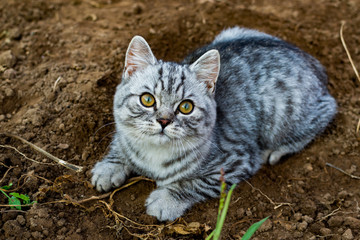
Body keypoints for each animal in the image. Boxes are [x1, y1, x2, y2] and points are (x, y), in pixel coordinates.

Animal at [90, 26, 338, 221]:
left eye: (186, 107)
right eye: (147, 100)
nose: (163, 120)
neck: (155, 154)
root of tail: (314, 63)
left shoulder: (238, 160)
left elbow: (193, 183)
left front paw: (167, 199)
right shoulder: (123, 133)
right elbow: (121, 143)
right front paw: (110, 167)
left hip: (284, 113)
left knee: (329, 108)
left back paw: (279, 149)